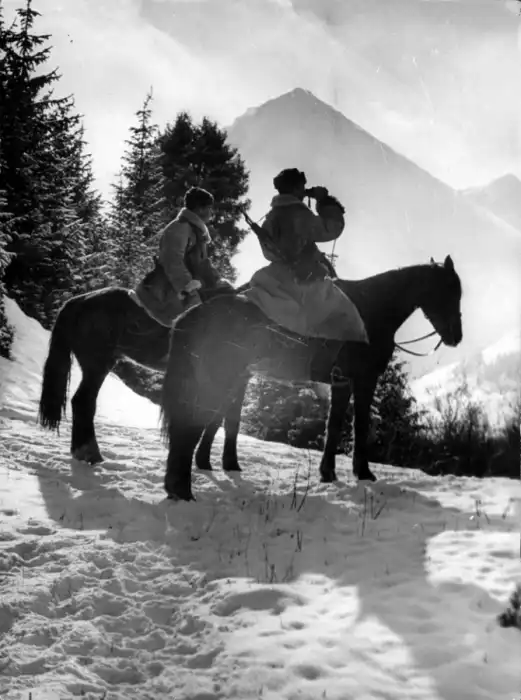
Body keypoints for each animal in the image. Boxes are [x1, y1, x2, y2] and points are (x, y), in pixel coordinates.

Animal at [160, 256, 462, 502]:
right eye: (448, 291)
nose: (456, 337)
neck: (371, 311)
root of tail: (195, 314)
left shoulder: (345, 383)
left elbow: (339, 425)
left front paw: (332, 472)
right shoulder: (359, 380)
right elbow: (354, 425)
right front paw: (358, 472)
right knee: (193, 422)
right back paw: (183, 489)